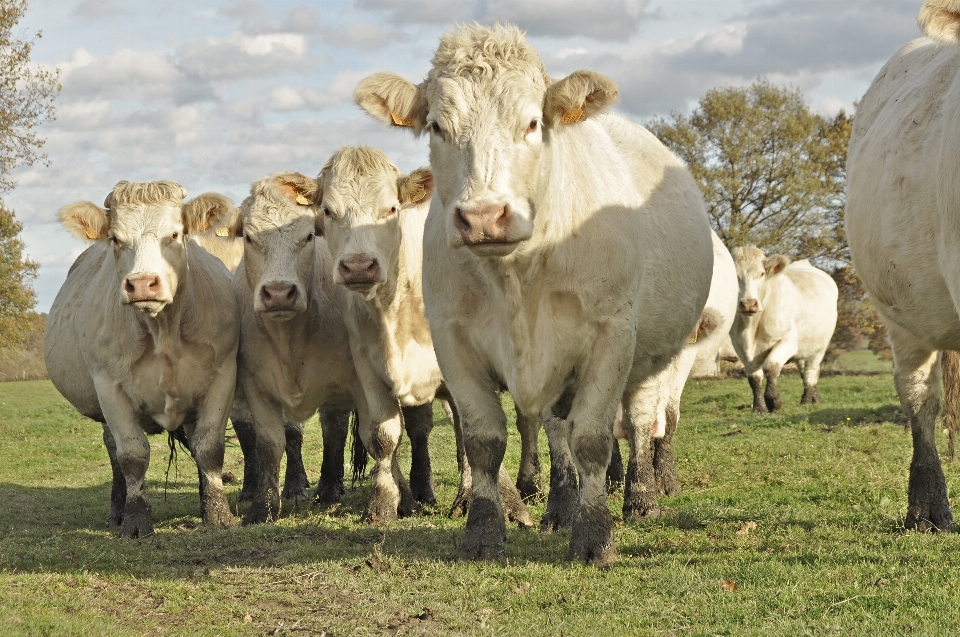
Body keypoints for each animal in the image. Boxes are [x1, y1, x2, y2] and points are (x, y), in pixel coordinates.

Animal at [44, 180, 240, 536]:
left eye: (175, 234)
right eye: (115, 239)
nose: (142, 284)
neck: (163, 332)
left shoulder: (223, 375)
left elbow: (209, 447)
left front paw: (217, 513)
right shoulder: (108, 387)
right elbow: (132, 455)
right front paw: (135, 519)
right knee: (113, 448)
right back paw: (117, 510)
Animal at [352, 23, 712, 568]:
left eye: (533, 122)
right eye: (437, 127)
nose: (483, 217)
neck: (517, 277)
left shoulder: (611, 335)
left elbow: (593, 440)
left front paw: (595, 536)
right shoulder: (453, 341)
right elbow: (484, 441)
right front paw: (483, 533)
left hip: (653, 355)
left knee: (638, 419)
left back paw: (641, 498)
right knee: (557, 427)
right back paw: (561, 507)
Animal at [732, 246, 836, 414]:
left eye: (762, 273)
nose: (748, 304)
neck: (751, 327)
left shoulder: (787, 341)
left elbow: (771, 367)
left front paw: (773, 401)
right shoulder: (739, 347)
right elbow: (754, 378)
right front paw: (759, 407)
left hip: (819, 347)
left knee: (811, 372)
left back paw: (807, 400)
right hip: (804, 348)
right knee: (803, 370)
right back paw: (814, 397)